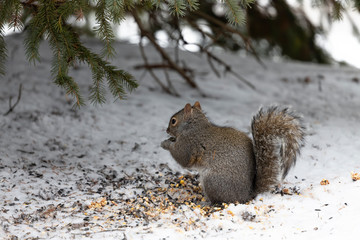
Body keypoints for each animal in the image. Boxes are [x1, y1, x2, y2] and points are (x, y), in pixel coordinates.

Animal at [162, 101, 306, 204]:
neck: (194, 127)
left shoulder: (188, 144)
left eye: (173, 121)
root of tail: (246, 195)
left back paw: (206, 203)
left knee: (219, 201)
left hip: (213, 181)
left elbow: (182, 158)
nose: (167, 130)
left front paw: (165, 143)